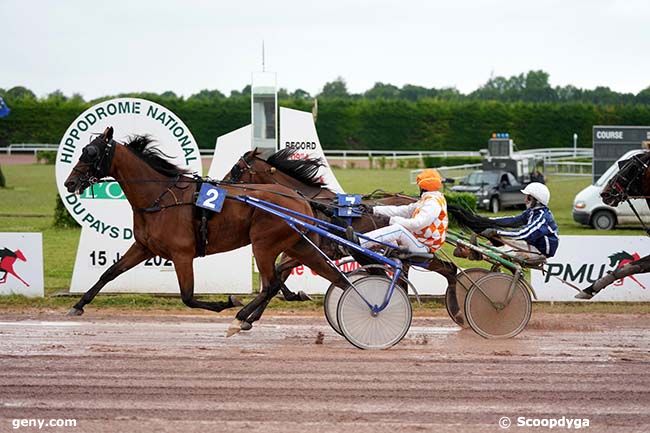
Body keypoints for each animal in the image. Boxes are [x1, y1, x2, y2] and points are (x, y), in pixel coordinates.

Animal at [65, 125, 346, 334]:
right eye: (82, 150)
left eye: (91, 152)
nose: (70, 183)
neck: (160, 197)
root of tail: (301, 198)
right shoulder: (144, 247)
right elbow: (109, 273)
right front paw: (78, 305)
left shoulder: (181, 254)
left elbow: (188, 297)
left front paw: (229, 301)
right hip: (298, 245)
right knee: (332, 277)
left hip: (264, 245)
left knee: (270, 284)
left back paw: (240, 318)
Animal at [224, 148, 460, 320]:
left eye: (237, 169)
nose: (225, 184)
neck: (309, 201)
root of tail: (414, 200)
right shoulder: (295, 247)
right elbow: (279, 273)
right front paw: (254, 316)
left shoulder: (311, 247)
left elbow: (279, 272)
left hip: (417, 250)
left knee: (449, 269)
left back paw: (457, 310)